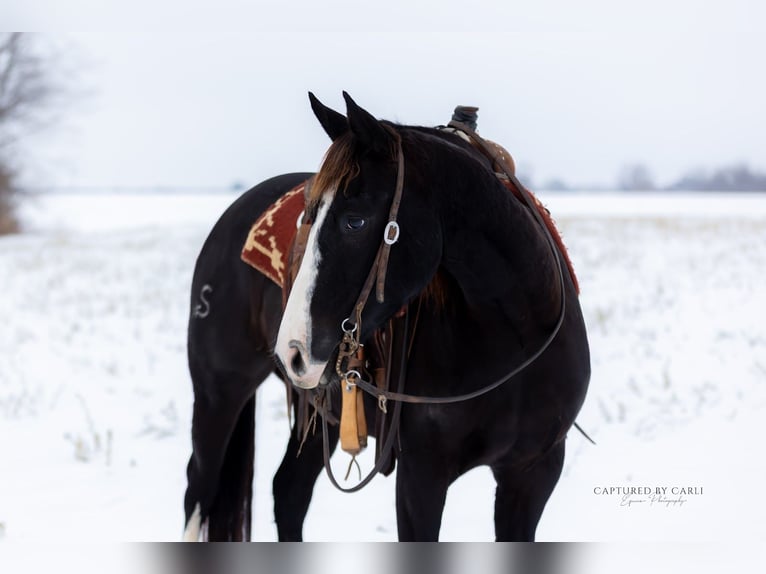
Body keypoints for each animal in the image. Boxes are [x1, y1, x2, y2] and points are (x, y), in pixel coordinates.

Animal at [183, 92, 590, 541]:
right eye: (309, 215)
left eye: (354, 220)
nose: (292, 351)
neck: (513, 336)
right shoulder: (420, 477)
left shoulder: (533, 474)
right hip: (219, 392)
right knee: (199, 489)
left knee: (288, 491)